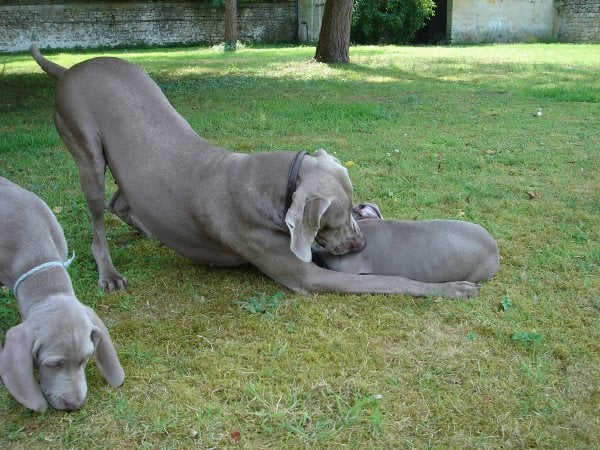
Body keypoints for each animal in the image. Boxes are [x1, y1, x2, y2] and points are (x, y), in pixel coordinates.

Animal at [31, 45, 478, 299]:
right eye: (332, 222)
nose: (358, 244)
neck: (275, 182)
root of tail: (70, 69)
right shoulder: (307, 276)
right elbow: (389, 281)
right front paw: (452, 288)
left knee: (121, 200)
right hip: (84, 146)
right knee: (97, 216)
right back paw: (109, 273)